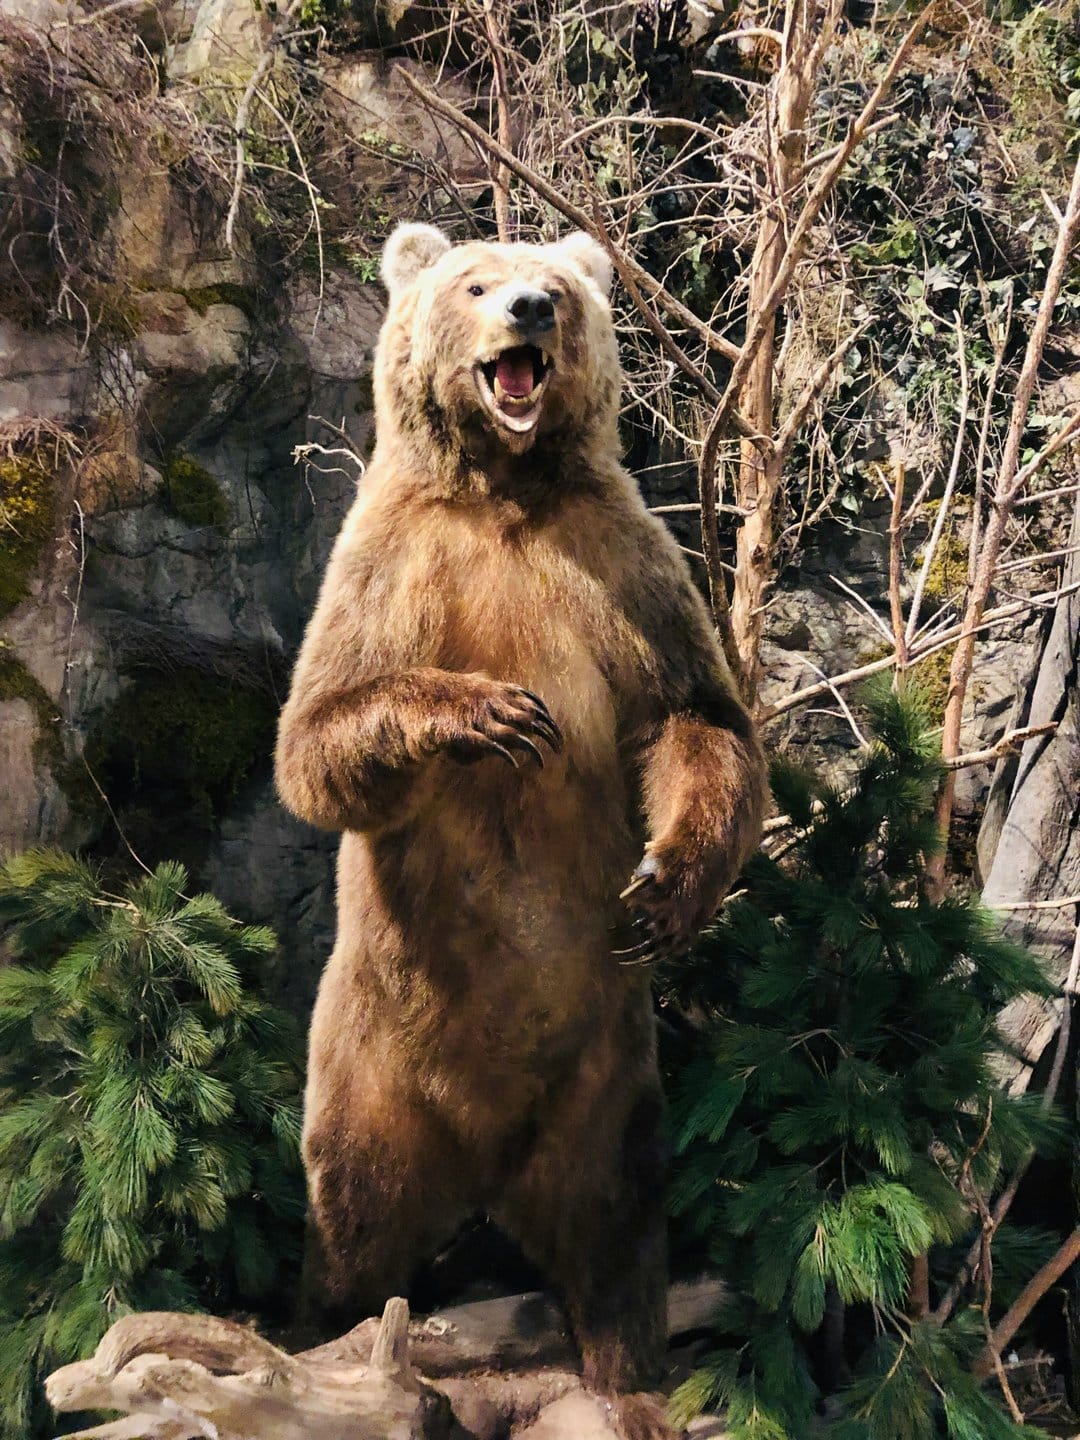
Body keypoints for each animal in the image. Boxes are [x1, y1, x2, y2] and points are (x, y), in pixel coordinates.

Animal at [274, 223, 766, 1436]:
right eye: (475, 282)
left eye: (559, 286)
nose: (531, 310)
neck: (504, 492)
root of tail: (488, 1167)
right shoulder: (388, 565)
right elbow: (318, 738)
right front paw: (493, 714)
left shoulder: (623, 564)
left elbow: (697, 716)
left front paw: (662, 888)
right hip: (369, 1072)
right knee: (352, 1221)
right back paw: (318, 1336)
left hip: (605, 1086)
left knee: (619, 1230)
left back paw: (629, 1380)